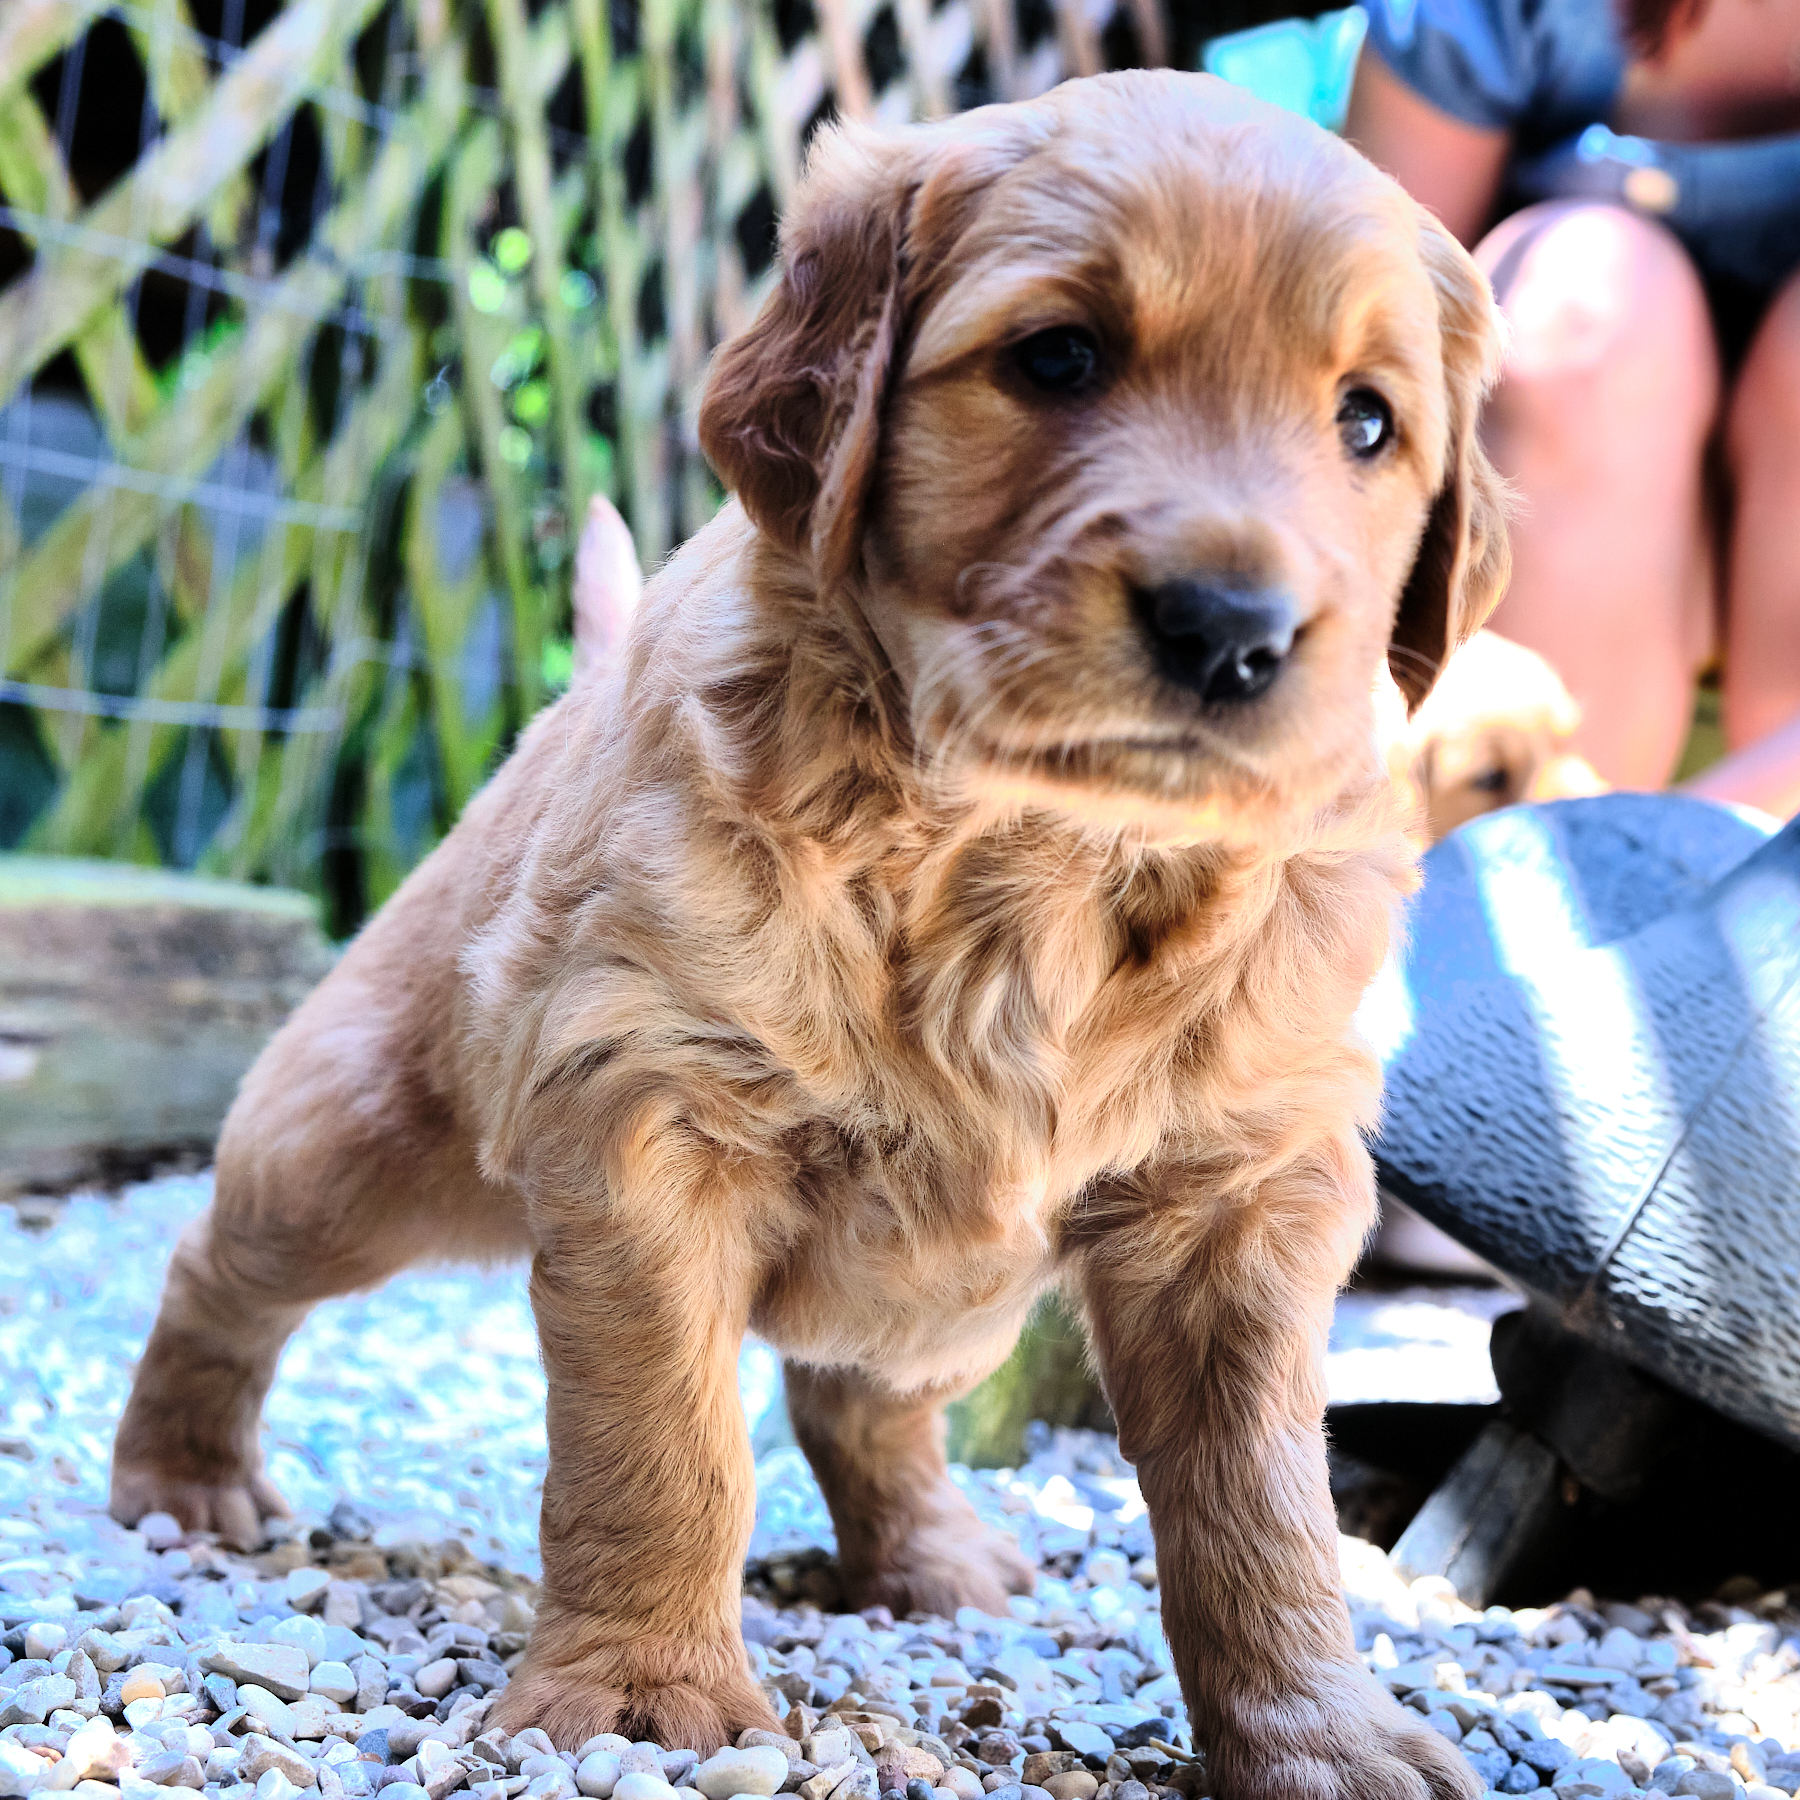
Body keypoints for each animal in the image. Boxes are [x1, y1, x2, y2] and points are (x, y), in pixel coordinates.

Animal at [108, 73, 1504, 1800]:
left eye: (1367, 421)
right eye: (1058, 357)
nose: (1230, 629)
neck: (1030, 859)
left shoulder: (1243, 1192)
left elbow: (1264, 1508)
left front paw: (1324, 1741)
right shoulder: (643, 1107)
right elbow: (664, 1441)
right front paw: (641, 1695)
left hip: (955, 1313)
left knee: (862, 1401)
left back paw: (929, 1558)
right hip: (356, 1132)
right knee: (223, 1260)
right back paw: (181, 1476)